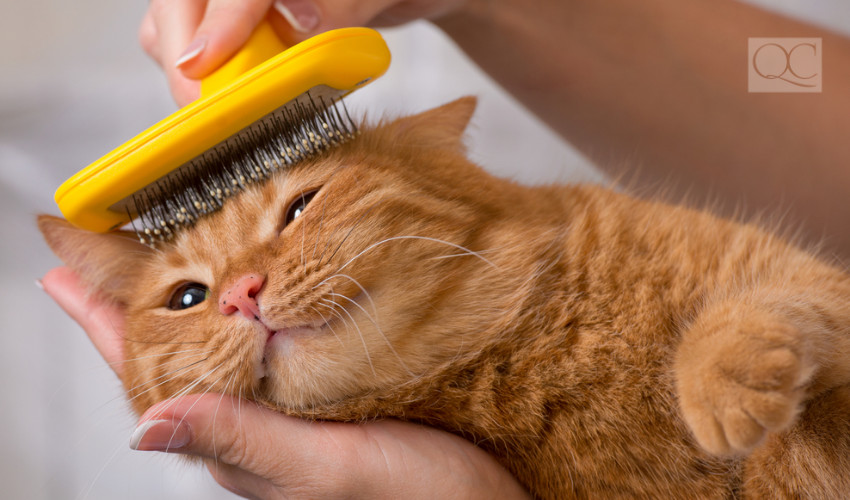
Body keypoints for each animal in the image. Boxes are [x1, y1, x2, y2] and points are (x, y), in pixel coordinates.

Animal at [38, 96, 848, 496]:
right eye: (186, 298)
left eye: (300, 208)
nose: (242, 292)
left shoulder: (798, 277)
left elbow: (758, 307)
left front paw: (725, 386)